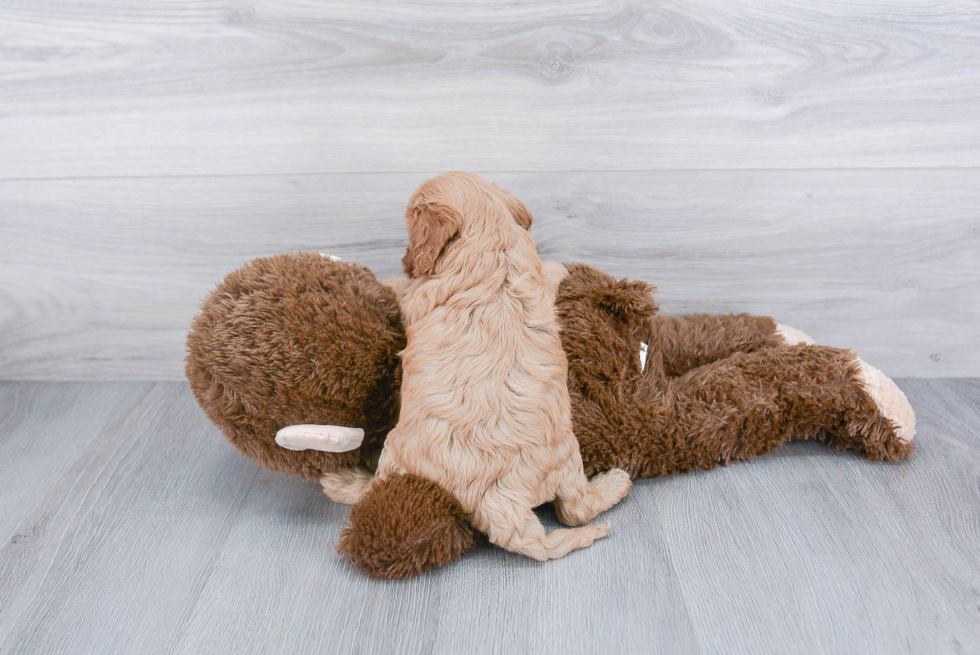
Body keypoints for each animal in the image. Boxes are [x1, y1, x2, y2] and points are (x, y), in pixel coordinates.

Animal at [372, 172, 632, 560]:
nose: (405, 260)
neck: (491, 240)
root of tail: (497, 499)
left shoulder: (418, 297)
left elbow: (404, 291)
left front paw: (390, 280)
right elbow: (548, 272)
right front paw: (561, 268)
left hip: (395, 452)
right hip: (566, 456)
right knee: (574, 510)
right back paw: (615, 483)